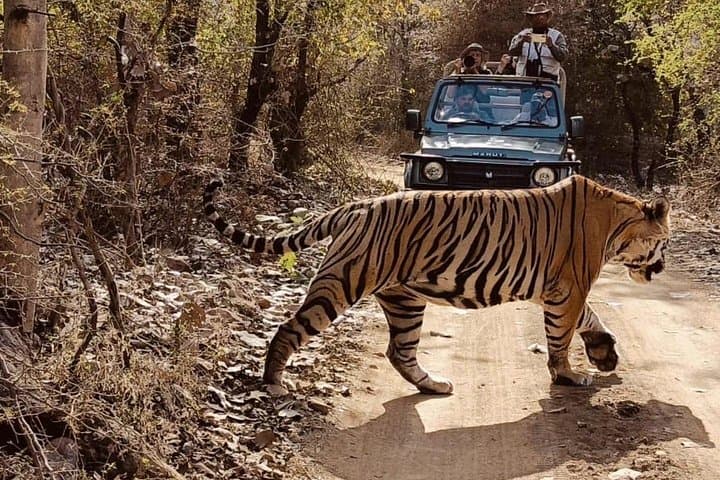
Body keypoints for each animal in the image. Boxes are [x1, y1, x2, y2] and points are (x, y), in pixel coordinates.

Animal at [203, 175, 670, 393]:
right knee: (288, 330)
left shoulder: (556, 291)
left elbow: (587, 320)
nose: (663, 267)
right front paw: (570, 376)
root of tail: (356, 206)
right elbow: (562, 337)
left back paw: (435, 385)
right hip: (341, 283)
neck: (615, 225)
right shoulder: (568, 289)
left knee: (400, 351)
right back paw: (273, 383)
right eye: (664, 241)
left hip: (404, 301)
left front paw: (605, 354)